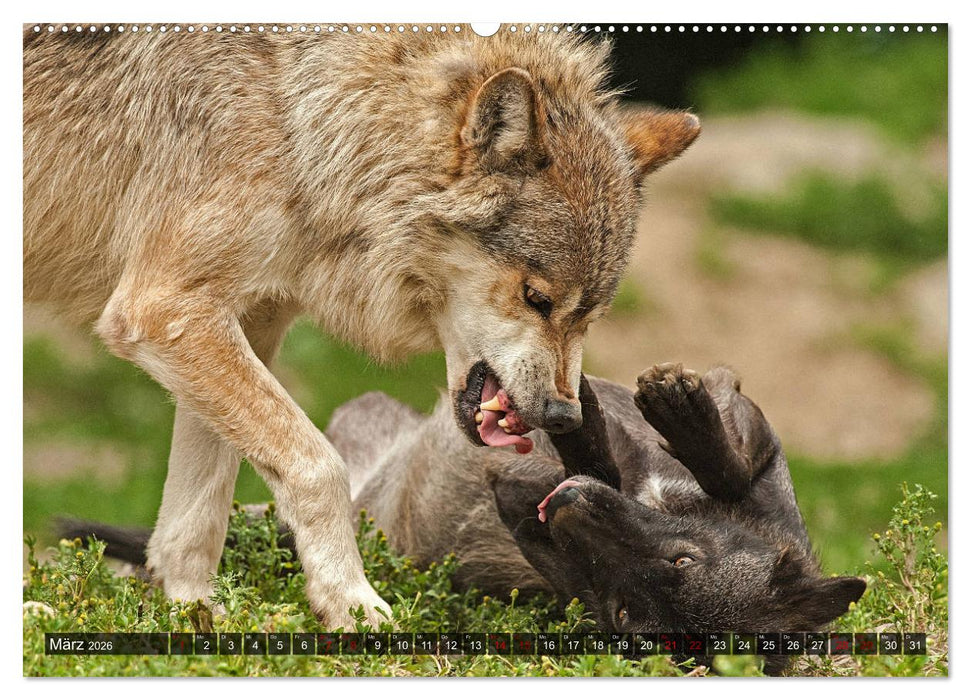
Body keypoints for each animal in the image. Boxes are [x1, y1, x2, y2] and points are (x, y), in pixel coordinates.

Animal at [23, 26, 700, 627]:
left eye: (591, 316)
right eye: (537, 299)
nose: (563, 416)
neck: (302, 120)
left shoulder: (242, 320)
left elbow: (201, 507)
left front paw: (193, 612)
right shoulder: (164, 310)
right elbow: (319, 467)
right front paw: (350, 602)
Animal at [69, 364, 865, 674]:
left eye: (625, 617)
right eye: (682, 561)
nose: (561, 503)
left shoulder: (540, 526)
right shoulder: (745, 443)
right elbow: (720, 457)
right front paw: (672, 413)